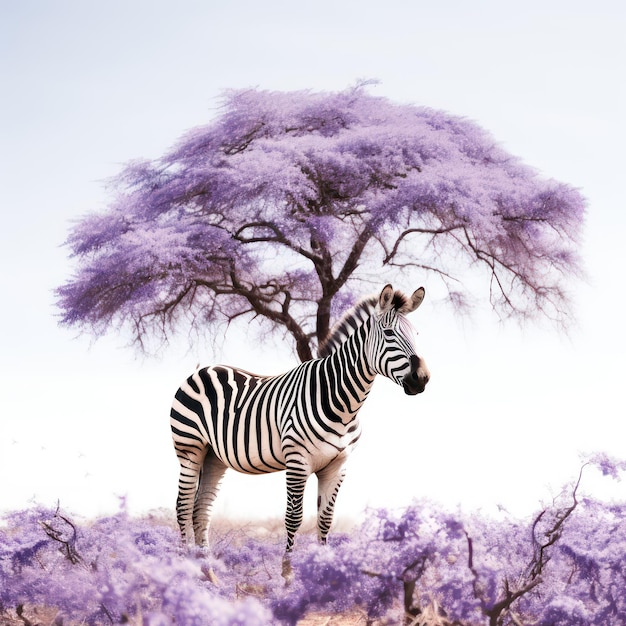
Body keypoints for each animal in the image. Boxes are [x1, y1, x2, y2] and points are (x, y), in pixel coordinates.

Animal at [168, 282, 426, 552]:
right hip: (189, 448)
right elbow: (293, 519)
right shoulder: (297, 460)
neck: (342, 403)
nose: (422, 378)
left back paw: (205, 565)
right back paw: (185, 561)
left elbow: (325, 520)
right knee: (183, 506)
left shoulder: (337, 466)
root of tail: (203, 369)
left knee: (201, 509)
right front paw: (288, 565)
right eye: (389, 333)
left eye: (416, 335)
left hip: (214, 456)